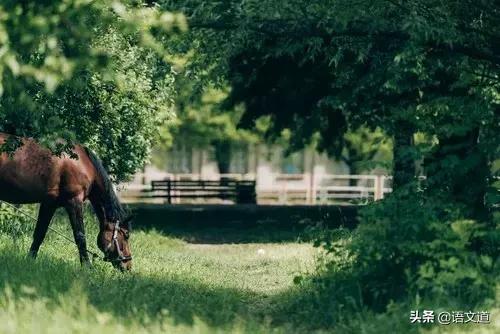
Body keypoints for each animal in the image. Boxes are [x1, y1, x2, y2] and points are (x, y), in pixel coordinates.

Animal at [0, 132, 132, 268]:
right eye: (126, 235)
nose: (128, 264)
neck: (82, 163)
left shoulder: (49, 204)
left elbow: (40, 233)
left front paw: (30, 260)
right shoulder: (74, 202)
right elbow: (80, 236)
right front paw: (87, 266)